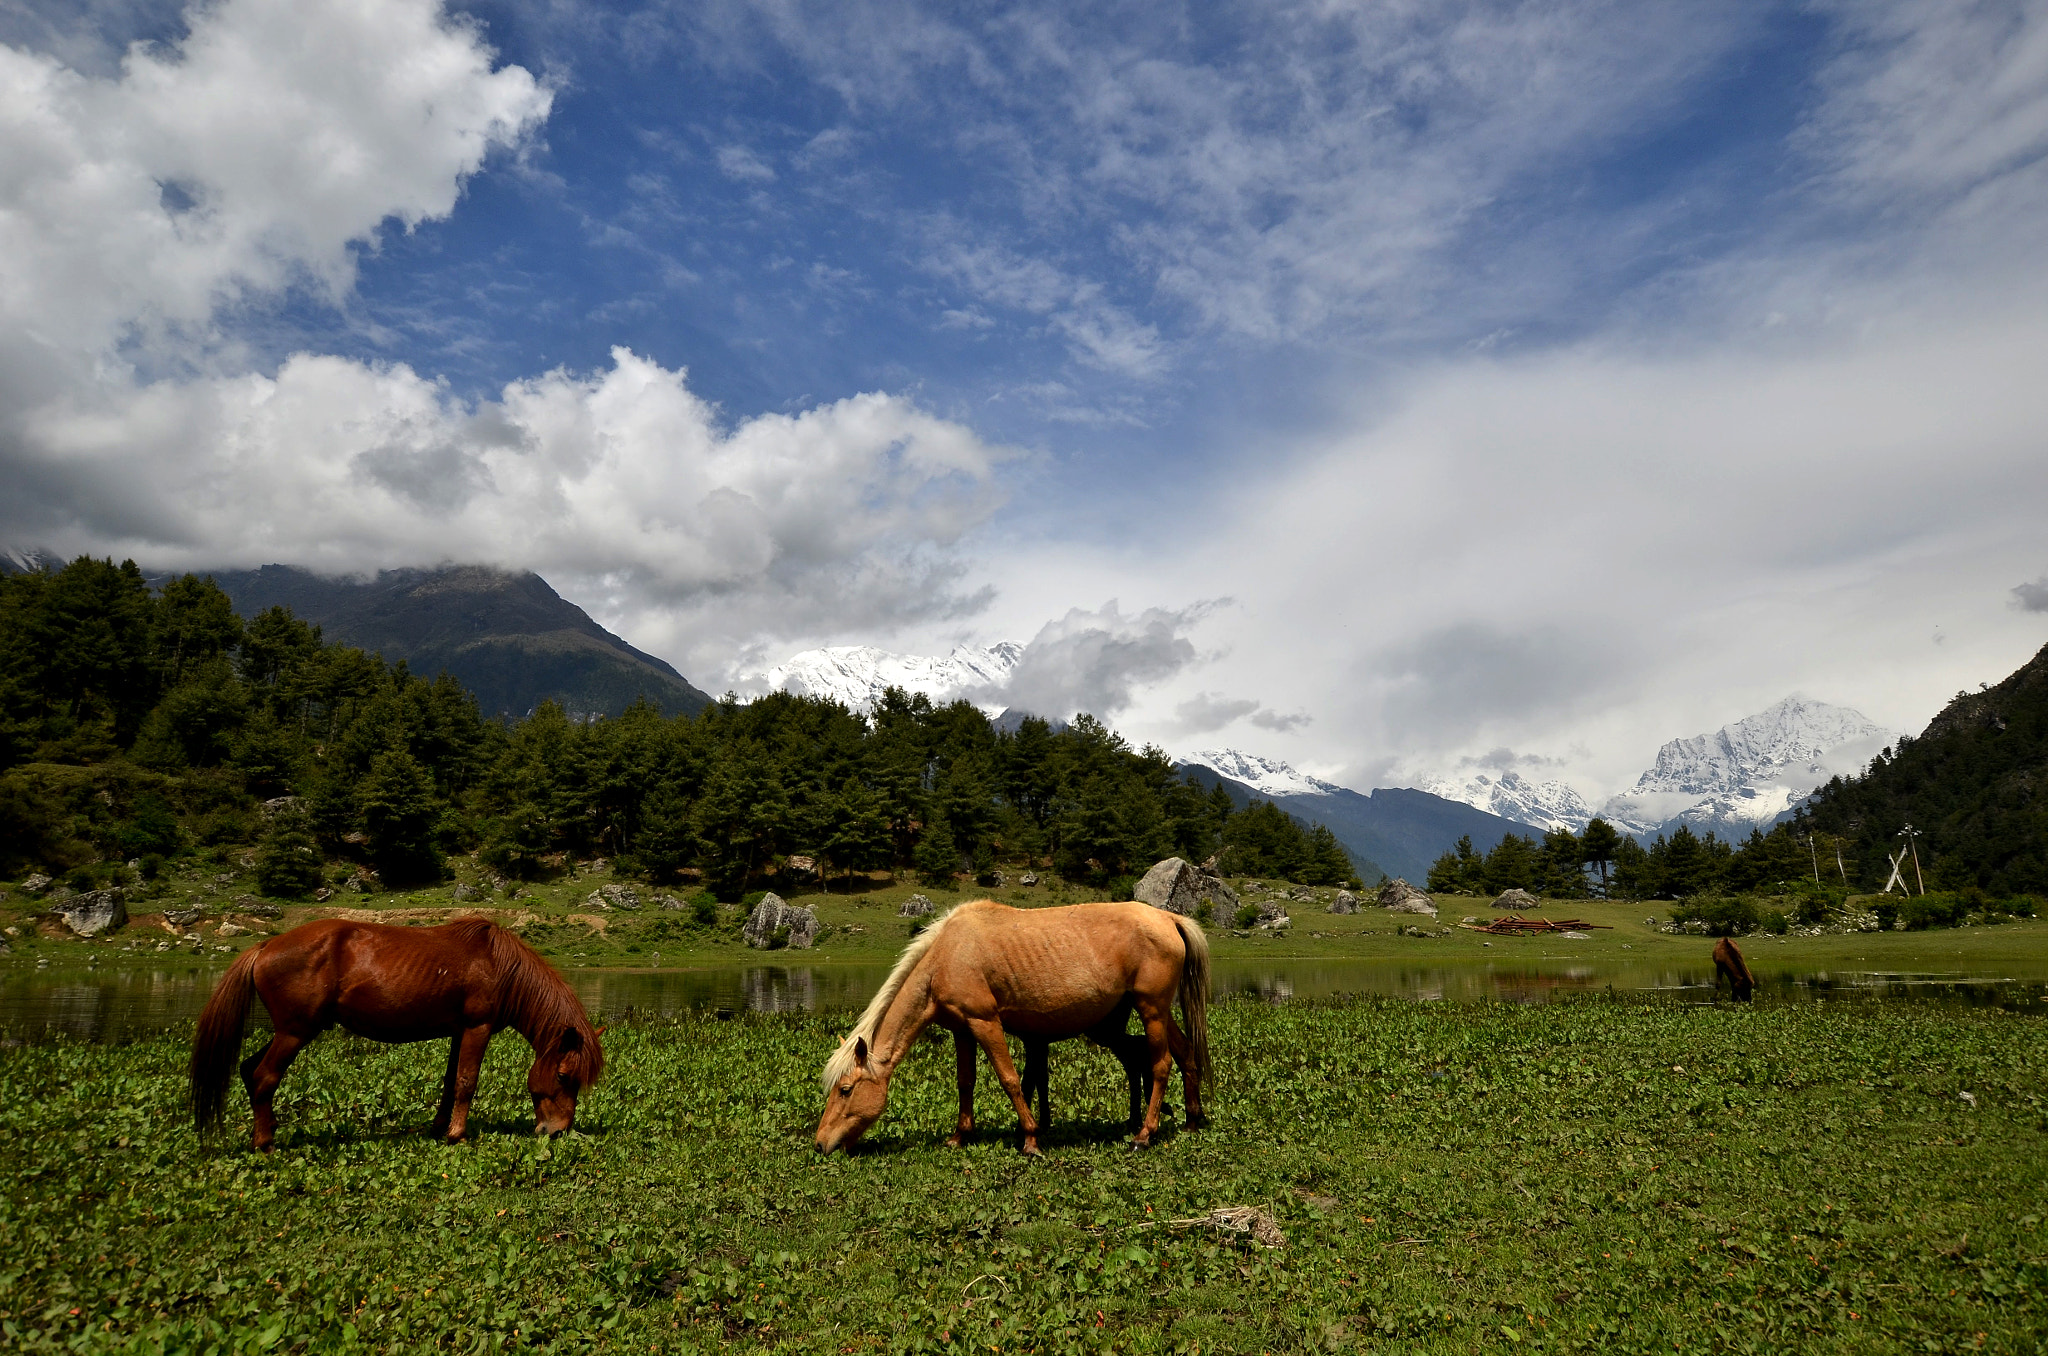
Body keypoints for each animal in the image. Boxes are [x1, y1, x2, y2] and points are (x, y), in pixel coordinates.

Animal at [191, 917, 598, 1155]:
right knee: (264, 1077)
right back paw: (265, 1143)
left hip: (290, 1030)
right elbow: (467, 1082)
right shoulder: (476, 1028)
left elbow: (450, 1082)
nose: (556, 1132)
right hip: (294, 1032)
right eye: (564, 1076)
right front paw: (458, 1135)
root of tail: (265, 947)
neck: (498, 964)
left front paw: (439, 1129)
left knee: (248, 1069)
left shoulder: (457, 1032)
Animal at [811, 901, 1204, 1155]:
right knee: (1185, 1052)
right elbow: (965, 1082)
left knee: (1160, 1064)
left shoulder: (985, 1022)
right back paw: (1193, 1119)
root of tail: (1169, 918)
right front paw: (960, 1136)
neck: (946, 956)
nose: (820, 1143)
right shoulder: (962, 1030)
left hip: (1151, 1011)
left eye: (845, 1090)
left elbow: (1010, 1079)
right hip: (1155, 1013)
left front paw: (1030, 1139)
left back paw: (1144, 1134)